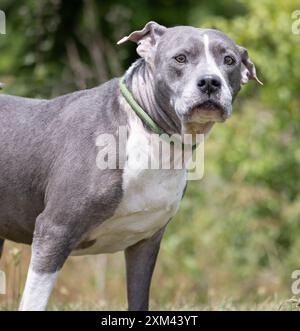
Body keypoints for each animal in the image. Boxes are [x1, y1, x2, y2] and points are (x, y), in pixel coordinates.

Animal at [0, 21, 262, 312]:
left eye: (229, 60)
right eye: (180, 58)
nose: (209, 82)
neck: (152, 139)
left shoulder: (145, 243)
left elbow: (139, 299)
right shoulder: (54, 231)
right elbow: (34, 300)